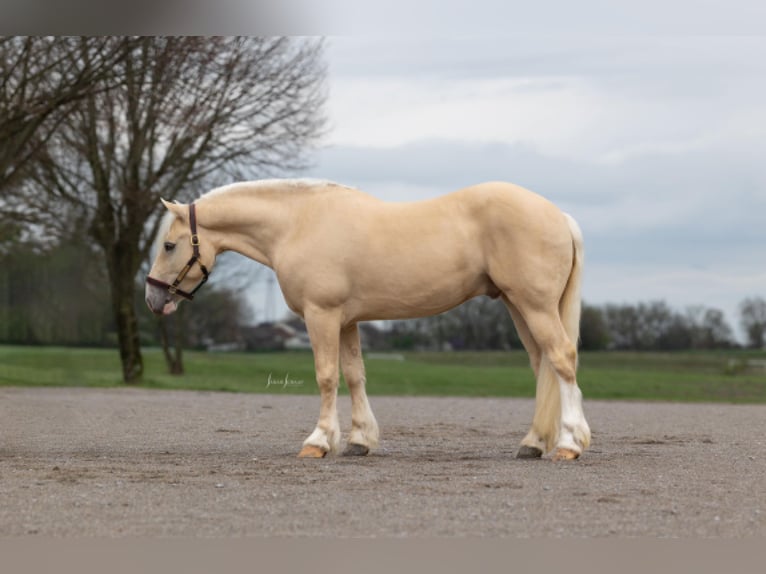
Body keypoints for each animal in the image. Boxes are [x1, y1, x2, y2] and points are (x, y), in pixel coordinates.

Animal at [144, 180, 592, 464]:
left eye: (168, 245)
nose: (153, 299)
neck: (297, 224)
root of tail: (559, 215)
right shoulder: (346, 321)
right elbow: (354, 374)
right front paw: (359, 441)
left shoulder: (321, 314)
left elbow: (326, 376)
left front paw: (319, 441)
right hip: (519, 306)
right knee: (542, 366)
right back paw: (533, 444)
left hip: (534, 305)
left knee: (562, 359)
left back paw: (570, 444)